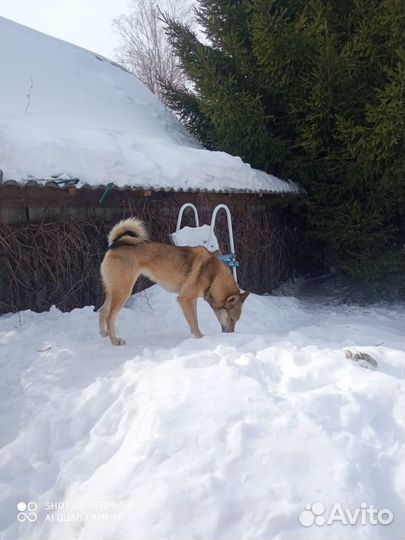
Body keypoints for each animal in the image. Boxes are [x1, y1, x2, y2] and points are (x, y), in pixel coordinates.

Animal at [98, 216, 249, 346]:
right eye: (231, 319)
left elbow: (192, 322)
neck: (214, 276)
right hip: (123, 291)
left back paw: (104, 334)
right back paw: (115, 341)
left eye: (236, 321)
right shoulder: (185, 299)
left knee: (102, 310)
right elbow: (195, 323)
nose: (230, 335)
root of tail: (116, 243)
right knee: (109, 316)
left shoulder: (192, 300)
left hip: (115, 291)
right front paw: (200, 338)